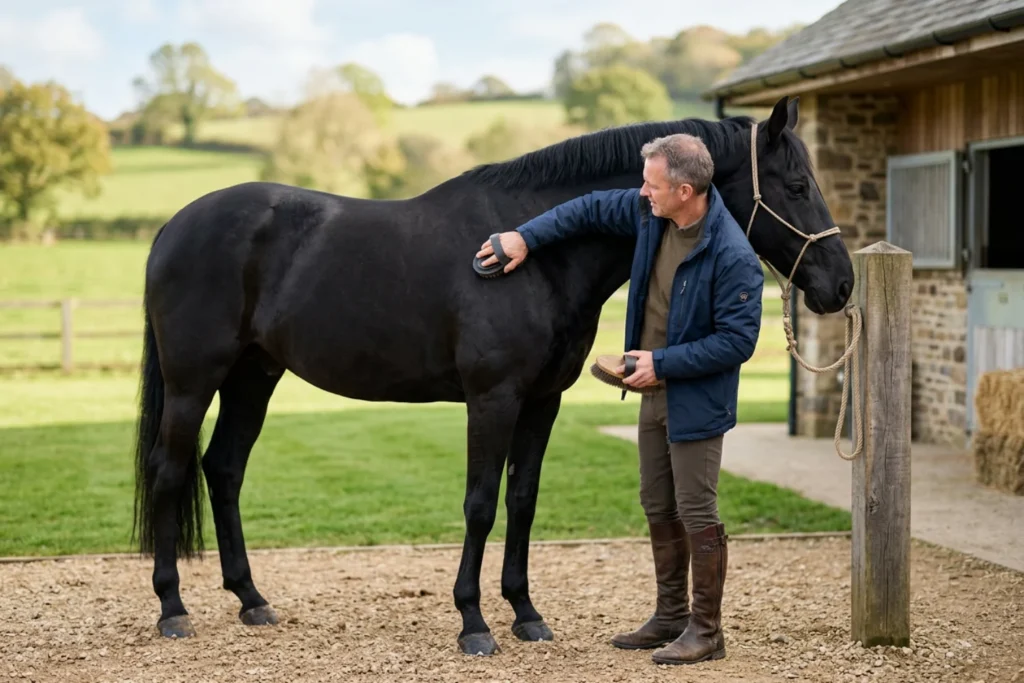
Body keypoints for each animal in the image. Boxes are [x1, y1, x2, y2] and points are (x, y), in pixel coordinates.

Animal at [131, 95, 854, 656]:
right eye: (796, 187)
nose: (840, 284)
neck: (534, 255)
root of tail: (172, 226)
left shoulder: (542, 401)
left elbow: (522, 499)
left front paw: (527, 614)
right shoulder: (493, 398)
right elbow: (479, 502)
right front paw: (474, 623)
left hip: (255, 374)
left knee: (224, 468)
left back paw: (252, 599)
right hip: (195, 381)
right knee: (171, 470)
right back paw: (172, 609)